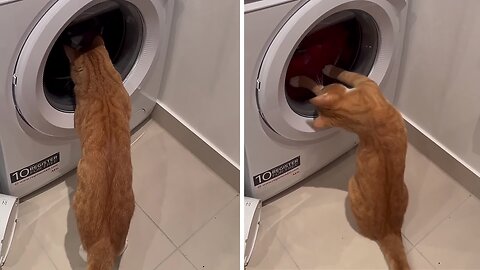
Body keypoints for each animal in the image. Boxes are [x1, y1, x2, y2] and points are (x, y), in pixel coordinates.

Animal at [288, 65, 408, 270]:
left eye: (328, 87)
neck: (362, 115)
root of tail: (388, 231)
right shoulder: (363, 82)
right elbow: (335, 77)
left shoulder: (362, 83)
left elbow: (333, 78)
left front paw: (314, 74)